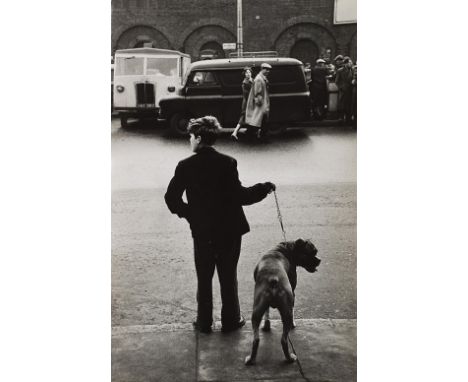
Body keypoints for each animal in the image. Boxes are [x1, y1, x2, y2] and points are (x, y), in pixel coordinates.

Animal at [245, 237, 318, 366]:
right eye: (312, 253)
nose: (319, 261)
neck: (285, 249)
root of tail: (273, 278)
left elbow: (267, 311)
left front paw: (266, 325)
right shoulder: (293, 291)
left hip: (256, 311)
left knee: (256, 339)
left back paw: (251, 359)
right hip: (287, 311)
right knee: (284, 340)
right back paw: (290, 358)